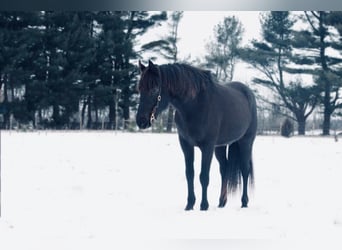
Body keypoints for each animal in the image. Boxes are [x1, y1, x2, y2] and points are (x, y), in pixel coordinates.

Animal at [136, 60, 256, 211]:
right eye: (139, 89)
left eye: (154, 89)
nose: (141, 121)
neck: (195, 105)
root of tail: (248, 93)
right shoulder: (186, 145)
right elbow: (190, 174)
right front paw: (189, 204)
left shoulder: (207, 147)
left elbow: (204, 176)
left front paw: (204, 205)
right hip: (220, 146)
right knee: (224, 169)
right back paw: (222, 202)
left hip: (246, 141)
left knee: (245, 170)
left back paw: (244, 202)